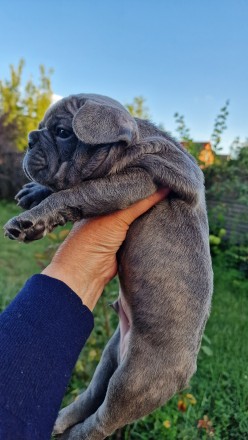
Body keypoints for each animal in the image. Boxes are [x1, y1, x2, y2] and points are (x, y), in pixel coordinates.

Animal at [3, 93, 213, 440]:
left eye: (63, 132)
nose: (31, 138)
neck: (132, 143)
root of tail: (186, 374)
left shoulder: (136, 181)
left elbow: (74, 192)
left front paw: (30, 220)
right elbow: (64, 189)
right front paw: (34, 193)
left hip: (133, 383)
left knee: (100, 422)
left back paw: (72, 435)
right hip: (109, 360)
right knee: (89, 398)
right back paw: (59, 421)